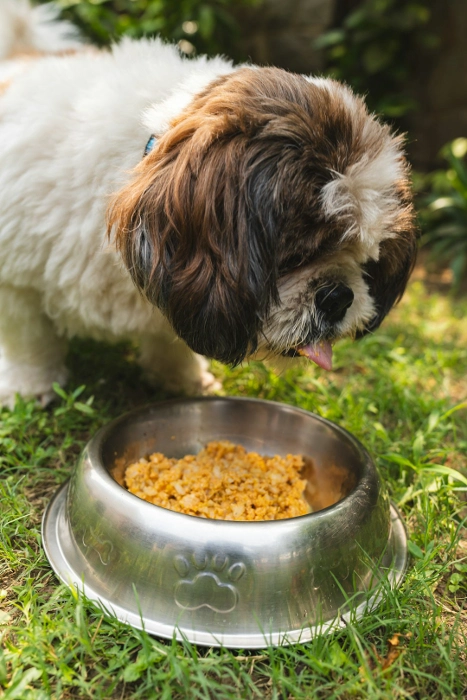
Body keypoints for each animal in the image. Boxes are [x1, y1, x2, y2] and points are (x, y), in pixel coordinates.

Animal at [0, 0, 416, 408]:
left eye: (367, 257)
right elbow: (28, 339)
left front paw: (181, 378)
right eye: (296, 254)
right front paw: (31, 385)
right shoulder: (15, 280)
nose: (338, 296)